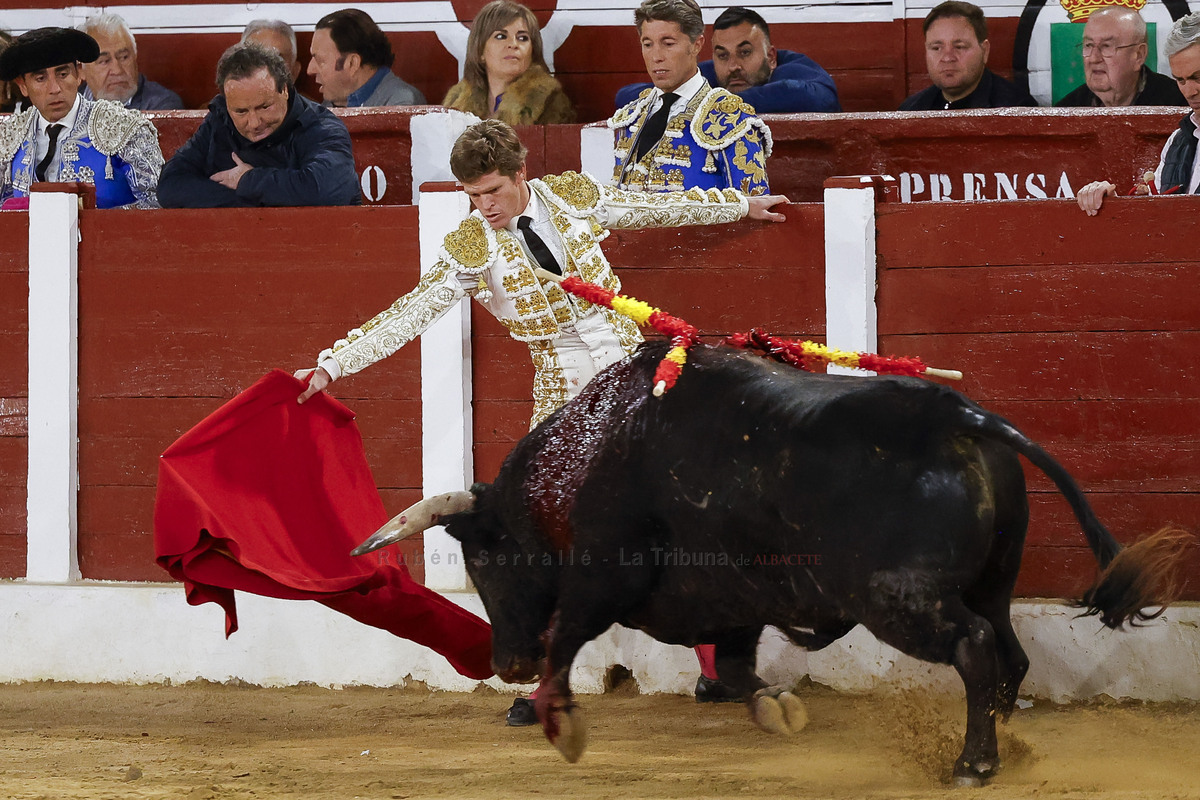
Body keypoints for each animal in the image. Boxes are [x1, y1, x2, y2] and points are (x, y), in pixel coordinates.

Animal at [350, 340, 1185, 786]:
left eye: (487, 560)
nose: (507, 663)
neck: (585, 461)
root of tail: (962, 417)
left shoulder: (602, 580)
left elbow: (572, 638)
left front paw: (559, 721)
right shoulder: (734, 601)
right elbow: (736, 667)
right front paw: (776, 709)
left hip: (899, 600)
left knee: (976, 650)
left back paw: (972, 763)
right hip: (993, 583)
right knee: (1008, 653)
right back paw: (1002, 744)